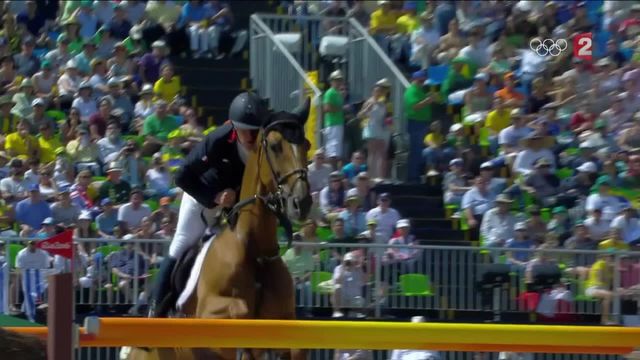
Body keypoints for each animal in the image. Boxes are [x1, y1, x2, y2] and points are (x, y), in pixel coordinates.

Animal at [127, 99, 312, 360]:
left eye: (307, 145)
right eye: (276, 147)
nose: (301, 203)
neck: (253, 250)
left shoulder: (287, 320)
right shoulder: (211, 315)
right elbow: (239, 310)